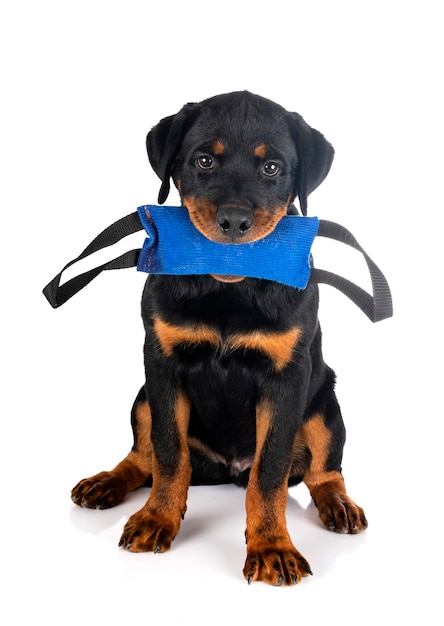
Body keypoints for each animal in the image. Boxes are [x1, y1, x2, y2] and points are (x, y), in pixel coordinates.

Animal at [72, 90, 368, 584]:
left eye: (272, 168)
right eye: (204, 160)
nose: (234, 220)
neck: (229, 288)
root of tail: (228, 470)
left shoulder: (287, 377)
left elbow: (268, 473)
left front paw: (272, 547)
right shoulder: (162, 364)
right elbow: (169, 453)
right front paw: (156, 519)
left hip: (324, 403)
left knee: (323, 471)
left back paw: (339, 505)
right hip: (143, 396)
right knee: (143, 456)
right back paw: (107, 482)